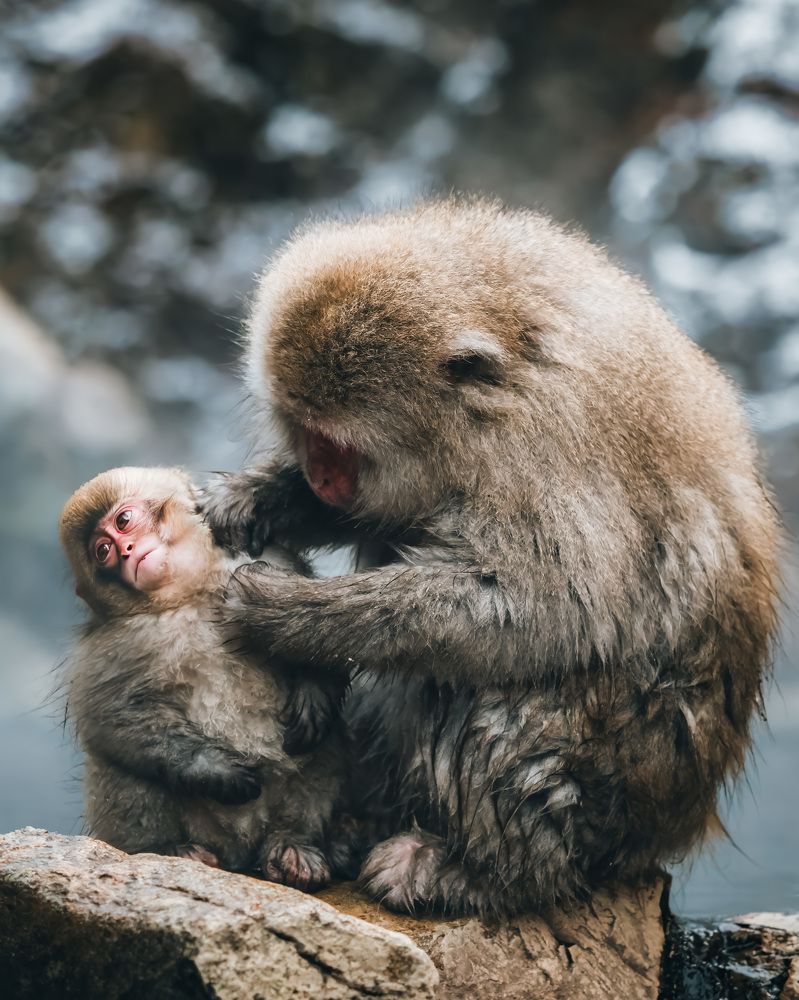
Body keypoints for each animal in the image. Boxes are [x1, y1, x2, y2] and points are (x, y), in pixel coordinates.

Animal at [59, 465, 350, 889]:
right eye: (102, 552)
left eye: (124, 521)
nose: (126, 551)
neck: (190, 592)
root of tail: (239, 852)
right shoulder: (114, 641)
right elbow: (112, 713)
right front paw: (216, 770)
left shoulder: (270, 560)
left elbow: (315, 636)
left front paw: (313, 697)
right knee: (119, 759)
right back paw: (171, 849)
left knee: (323, 746)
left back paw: (293, 845)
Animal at [201, 199, 780, 916]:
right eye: (303, 431)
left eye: (339, 444)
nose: (321, 477)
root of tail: (674, 824)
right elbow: (387, 515)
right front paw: (260, 499)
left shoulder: (543, 446)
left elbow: (544, 609)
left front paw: (287, 614)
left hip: (606, 794)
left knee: (485, 691)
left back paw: (481, 872)